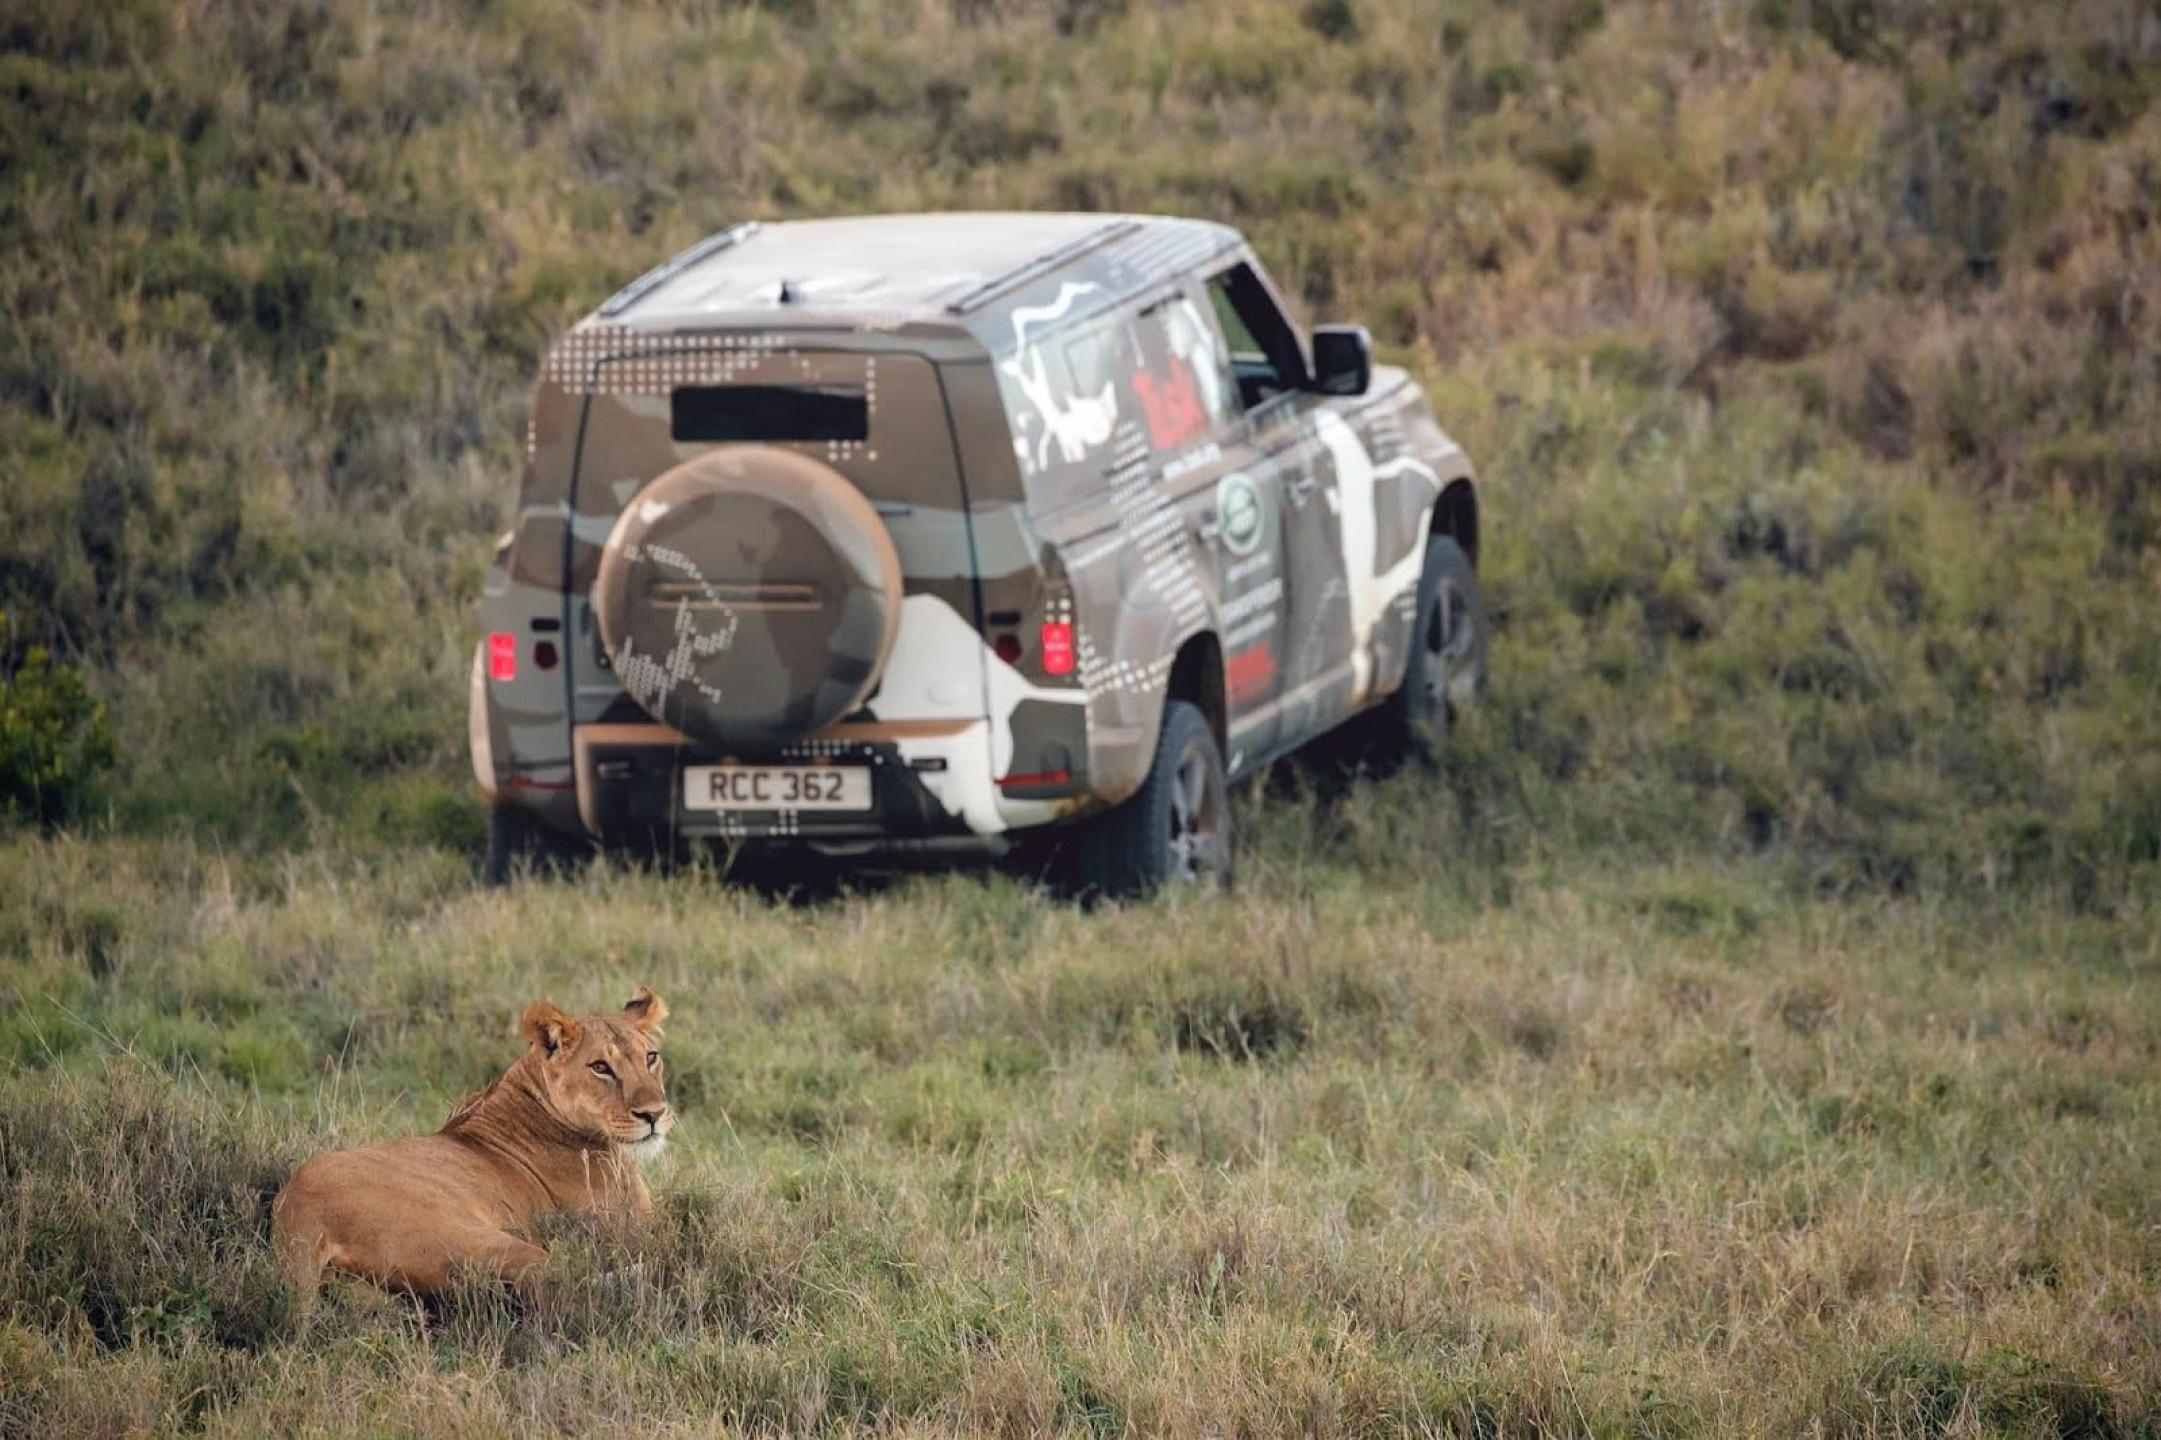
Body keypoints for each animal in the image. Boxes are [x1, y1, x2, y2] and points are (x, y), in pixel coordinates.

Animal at [272, 985, 674, 1314]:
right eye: (600, 1067)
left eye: (651, 1057)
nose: (654, 1114)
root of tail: (296, 1207)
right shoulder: (631, 1228)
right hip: (481, 1240)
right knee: (562, 1284)